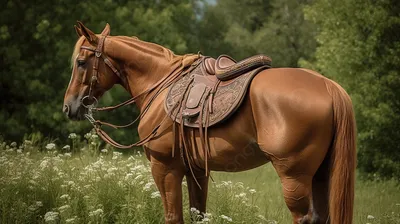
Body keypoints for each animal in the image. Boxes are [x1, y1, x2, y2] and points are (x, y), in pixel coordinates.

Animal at [62, 22, 356, 224]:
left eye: (81, 62)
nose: (69, 106)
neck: (160, 81)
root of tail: (328, 86)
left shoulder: (165, 169)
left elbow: (173, 217)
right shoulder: (196, 171)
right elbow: (198, 215)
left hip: (294, 177)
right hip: (320, 174)